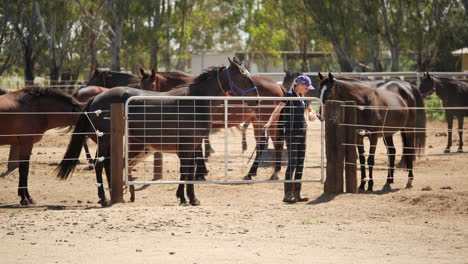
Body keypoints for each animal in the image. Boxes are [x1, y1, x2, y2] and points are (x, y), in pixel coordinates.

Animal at [57, 57, 260, 206]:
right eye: (243, 76)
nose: (257, 100)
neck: (196, 101)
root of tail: (95, 97)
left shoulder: (194, 145)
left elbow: (189, 170)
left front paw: (189, 197)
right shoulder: (187, 145)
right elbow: (186, 170)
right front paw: (186, 197)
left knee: (107, 163)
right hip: (105, 139)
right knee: (99, 165)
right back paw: (104, 198)